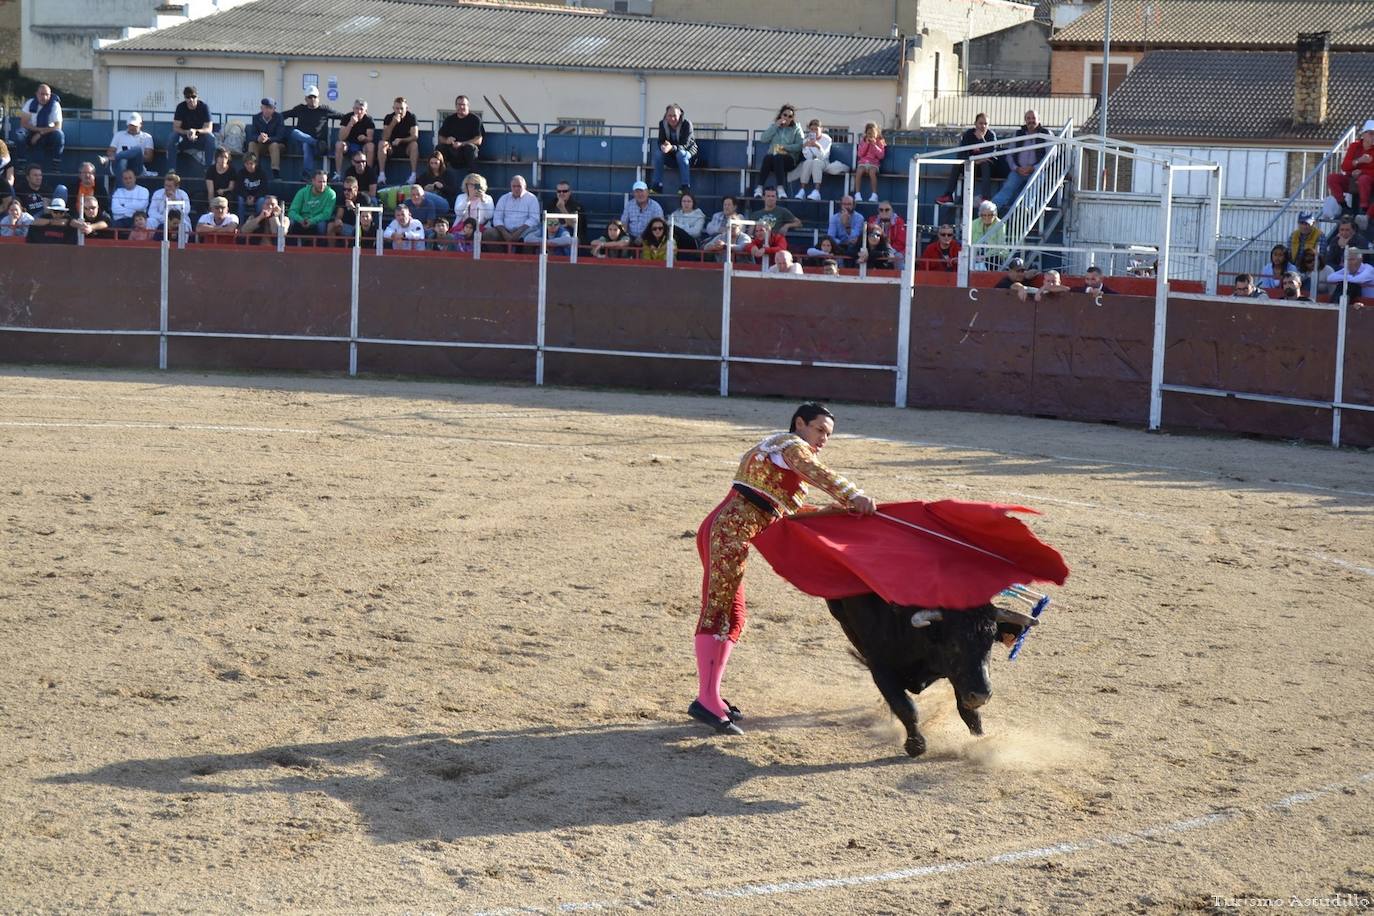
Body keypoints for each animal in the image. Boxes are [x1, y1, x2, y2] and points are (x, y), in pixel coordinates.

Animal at [824, 598, 1038, 758]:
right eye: (954, 643)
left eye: (991, 642)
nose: (981, 695)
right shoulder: (880, 667)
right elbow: (906, 707)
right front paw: (916, 746)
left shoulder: (958, 677)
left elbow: (968, 711)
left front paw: (980, 740)